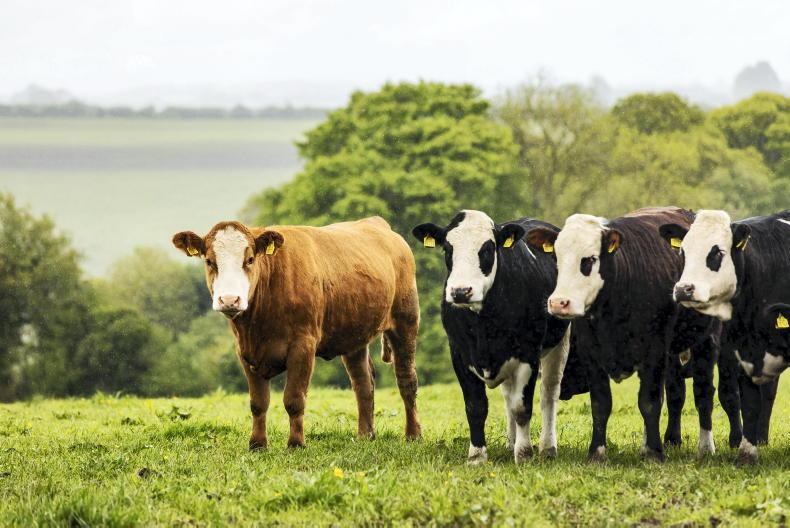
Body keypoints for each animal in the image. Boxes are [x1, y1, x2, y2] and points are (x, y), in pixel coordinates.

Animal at [172, 217, 421, 450]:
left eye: (250, 259)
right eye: (209, 261)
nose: (230, 300)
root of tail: (376, 223)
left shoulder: (303, 346)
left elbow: (294, 399)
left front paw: (296, 443)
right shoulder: (244, 351)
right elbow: (258, 402)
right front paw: (257, 444)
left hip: (406, 320)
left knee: (406, 379)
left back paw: (413, 434)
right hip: (354, 335)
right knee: (363, 383)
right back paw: (365, 434)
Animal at [412, 210, 570, 464]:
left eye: (487, 249)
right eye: (448, 249)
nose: (460, 291)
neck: (483, 325)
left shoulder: (528, 353)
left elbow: (522, 407)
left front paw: (524, 454)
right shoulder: (459, 354)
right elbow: (475, 406)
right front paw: (477, 455)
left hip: (560, 341)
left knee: (549, 393)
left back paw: (547, 448)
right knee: (508, 395)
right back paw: (511, 443)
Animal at [527, 207, 721, 462]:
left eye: (590, 259)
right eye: (557, 258)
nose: (559, 303)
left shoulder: (654, 351)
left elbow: (649, 402)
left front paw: (653, 453)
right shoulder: (592, 353)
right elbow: (601, 404)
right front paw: (597, 453)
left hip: (705, 342)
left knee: (703, 395)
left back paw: (706, 447)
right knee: (676, 395)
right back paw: (669, 439)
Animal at [659, 209, 790, 463]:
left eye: (717, 252)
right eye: (682, 251)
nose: (683, 289)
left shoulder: (721, 351)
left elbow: (728, 395)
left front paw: (735, 441)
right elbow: (677, 393)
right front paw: (672, 440)